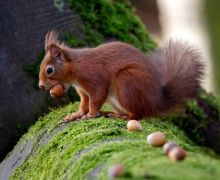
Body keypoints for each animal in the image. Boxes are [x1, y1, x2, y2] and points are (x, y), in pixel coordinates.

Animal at [38, 31, 205, 122]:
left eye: (49, 70)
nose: (41, 86)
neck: (76, 66)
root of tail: (156, 103)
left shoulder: (95, 79)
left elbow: (96, 99)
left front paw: (90, 115)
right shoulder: (83, 91)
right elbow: (84, 103)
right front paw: (75, 114)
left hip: (126, 82)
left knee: (137, 115)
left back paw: (121, 117)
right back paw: (111, 113)